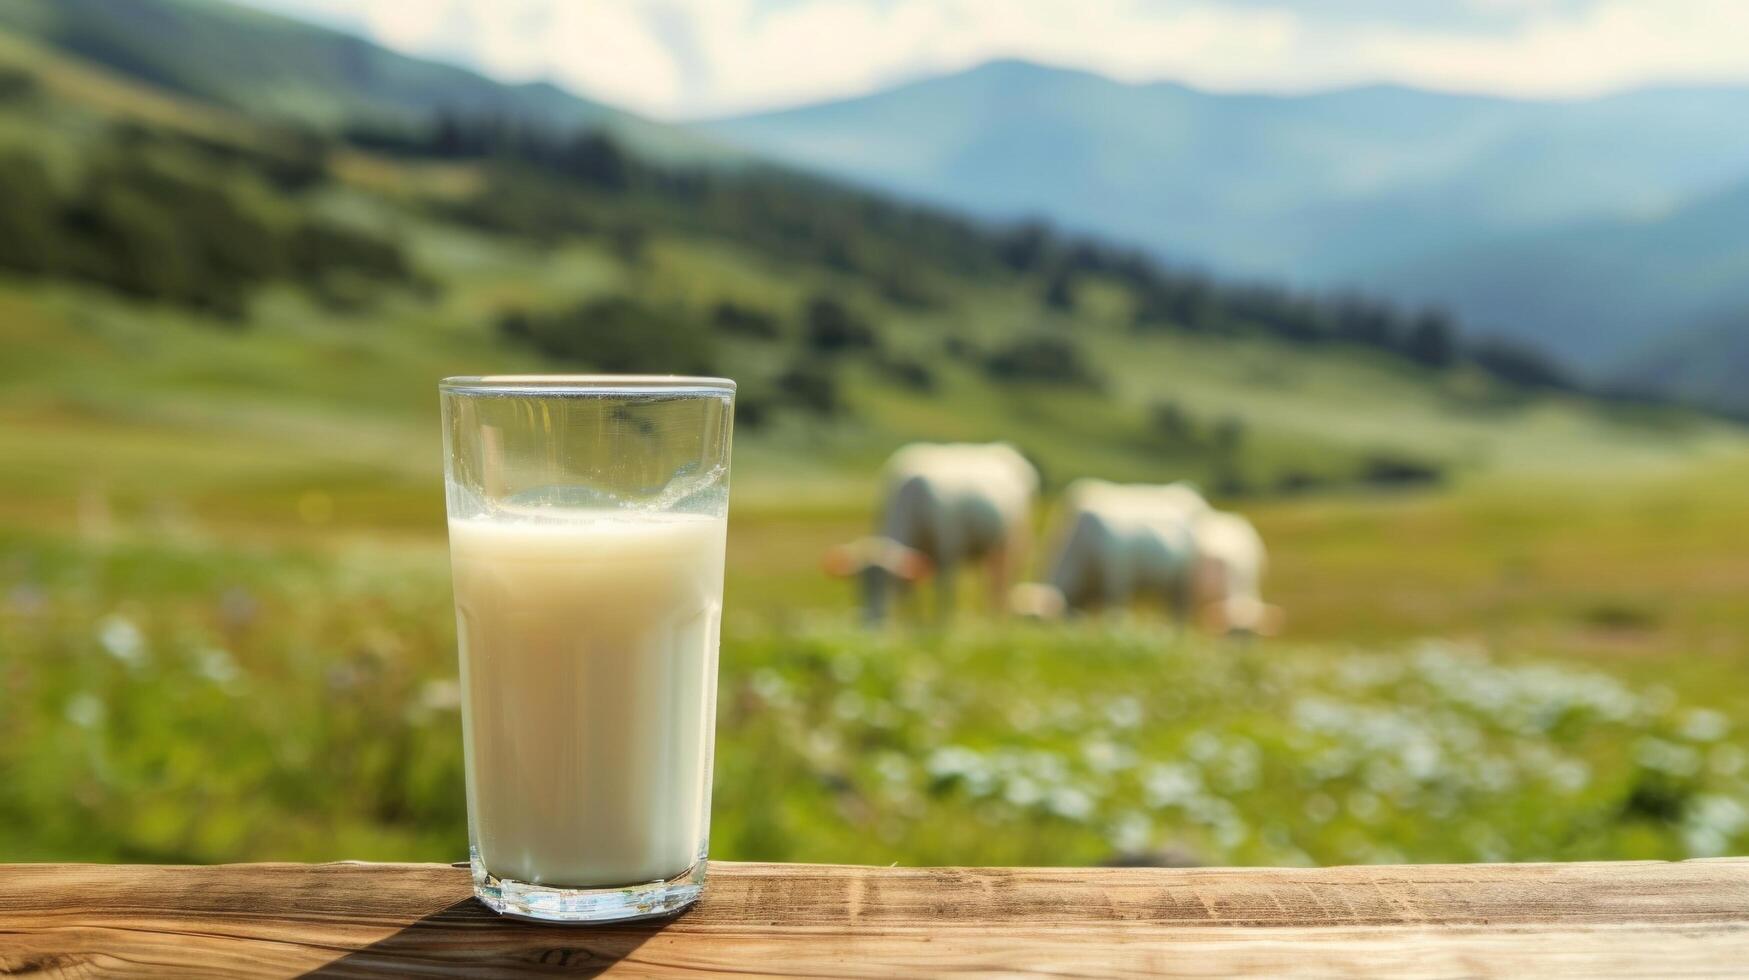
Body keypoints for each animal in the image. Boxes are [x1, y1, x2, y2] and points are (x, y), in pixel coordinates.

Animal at [822, 442, 1028, 623]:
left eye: (888, 584)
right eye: (858, 585)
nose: (871, 622)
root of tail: (1003, 448)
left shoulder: (947, 549)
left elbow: (944, 588)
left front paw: (943, 624)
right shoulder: (915, 557)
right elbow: (912, 591)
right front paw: (914, 623)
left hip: (1012, 539)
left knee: (1002, 580)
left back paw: (998, 620)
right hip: (989, 548)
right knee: (990, 580)